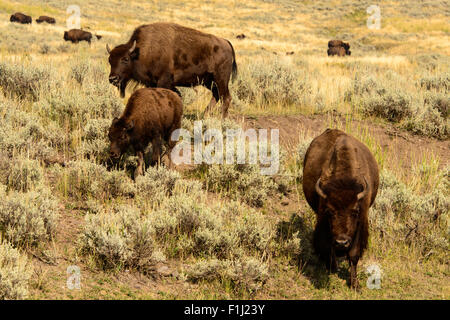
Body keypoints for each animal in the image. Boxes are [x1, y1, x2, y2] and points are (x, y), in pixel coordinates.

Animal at [106, 22, 237, 117]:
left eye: (125, 59)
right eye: (110, 60)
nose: (113, 79)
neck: (140, 52)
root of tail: (226, 42)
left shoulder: (164, 81)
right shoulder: (153, 83)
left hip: (220, 79)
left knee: (226, 97)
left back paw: (222, 119)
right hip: (209, 81)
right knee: (217, 95)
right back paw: (204, 116)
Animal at [302, 128, 380, 290]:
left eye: (355, 211)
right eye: (330, 211)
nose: (342, 242)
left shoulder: (360, 223)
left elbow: (354, 254)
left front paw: (354, 284)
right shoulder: (323, 221)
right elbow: (327, 246)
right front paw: (332, 268)